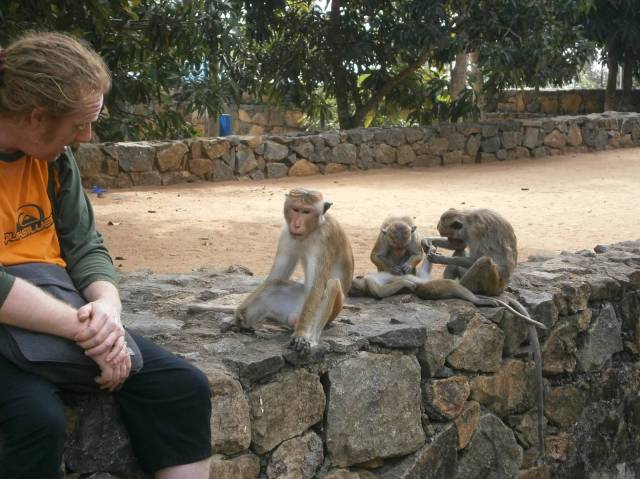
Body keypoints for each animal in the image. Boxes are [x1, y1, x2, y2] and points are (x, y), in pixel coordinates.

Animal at [235, 188, 354, 353]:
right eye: (296, 209)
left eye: (306, 212)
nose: (296, 225)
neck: (313, 229)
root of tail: (294, 316)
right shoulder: (286, 233)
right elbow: (276, 276)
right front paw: (240, 312)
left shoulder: (325, 239)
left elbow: (316, 287)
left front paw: (301, 335)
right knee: (275, 284)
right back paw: (246, 325)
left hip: (328, 313)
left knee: (332, 284)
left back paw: (312, 339)